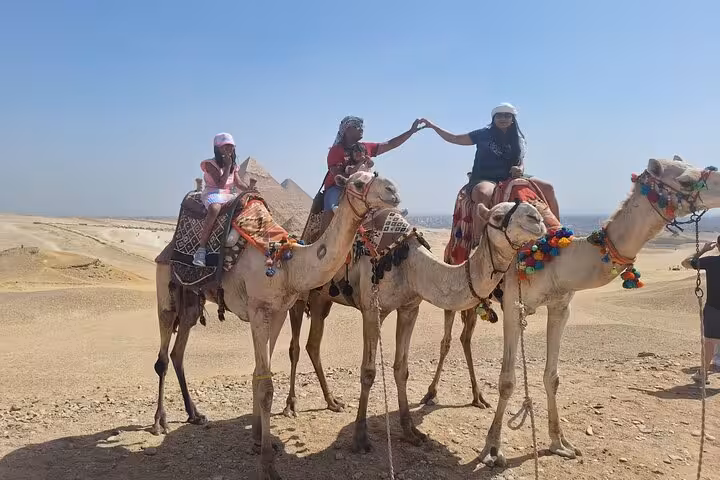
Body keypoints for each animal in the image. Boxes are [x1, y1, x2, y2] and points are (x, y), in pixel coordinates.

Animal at [152, 170, 401, 480]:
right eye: (357, 181)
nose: (393, 191)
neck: (286, 265)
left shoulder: (279, 311)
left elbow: (259, 374)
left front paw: (259, 440)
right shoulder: (259, 311)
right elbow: (266, 386)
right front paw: (268, 465)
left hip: (191, 299)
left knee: (178, 351)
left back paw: (195, 414)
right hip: (166, 286)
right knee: (162, 356)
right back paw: (160, 422)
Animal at [282, 201, 547, 452]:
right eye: (498, 216)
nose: (537, 218)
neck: (410, 264)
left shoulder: (410, 308)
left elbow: (402, 369)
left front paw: (410, 431)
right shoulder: (372, 310)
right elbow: (368, 372)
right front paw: (360, 438)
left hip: (322, 298)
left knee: (313, 344)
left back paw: (332, 401)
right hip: (299, 294)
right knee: (295, 346)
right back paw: (290, 405)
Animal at [421, 157, 720, 467]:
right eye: (685, 180)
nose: (719, 181)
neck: (553, 256)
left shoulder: (560, 307)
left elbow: (552, 377)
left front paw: (560, 443)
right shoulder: (513, 306)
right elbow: (507, 381)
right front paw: (492, 449)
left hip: (477, 301)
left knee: (466, 337)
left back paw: (478, 397)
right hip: (455, 278)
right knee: (447, 340)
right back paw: (430, 394)